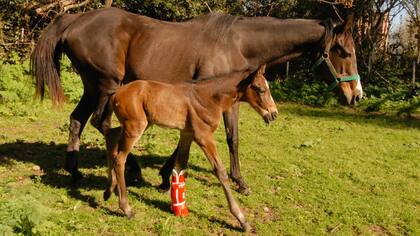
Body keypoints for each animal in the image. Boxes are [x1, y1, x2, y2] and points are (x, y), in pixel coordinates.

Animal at [32, 7, 360, 194]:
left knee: (78, 119)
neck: (238, 44)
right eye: (344, 52)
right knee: (102, 123)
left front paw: (166, 175)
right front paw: (240, 182)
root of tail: (75, 18)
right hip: (106, 86)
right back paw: (132, 171)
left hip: (92, 87)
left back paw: (74, 171)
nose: (355, 95)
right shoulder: (222, 101)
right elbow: (232, 139)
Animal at [104, 64, 278, 230]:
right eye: (261, 90)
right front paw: (242, 220)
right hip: (136, 126)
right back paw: (126, 208)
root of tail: (116, 94)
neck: (210, 98)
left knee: (111, 137)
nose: (274, 114)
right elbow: (220, 172)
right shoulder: (204, 136)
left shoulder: (186, 134)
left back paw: (108, 190)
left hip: (139, 124)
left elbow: (180, 166)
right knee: (120, 159)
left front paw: (179, 208)